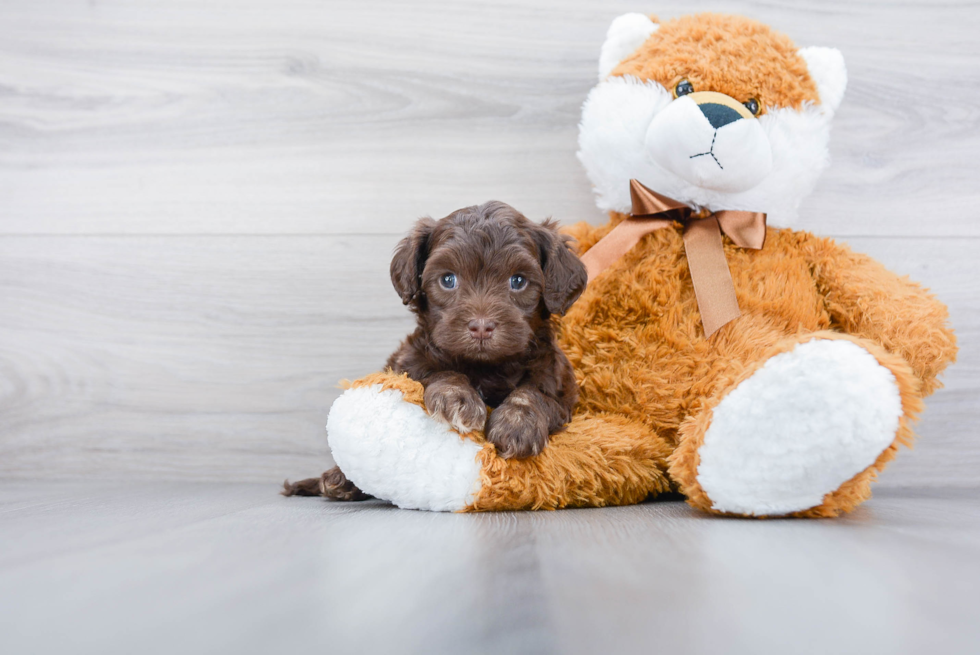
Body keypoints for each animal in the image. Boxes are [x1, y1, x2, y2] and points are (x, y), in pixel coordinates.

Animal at [288, 202, 584, 500]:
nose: (481, 326)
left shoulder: (558, 381)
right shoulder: (409, 363)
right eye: (448, 279)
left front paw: (517, 424)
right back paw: (339, 480)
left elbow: (536, 394)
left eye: (518, 281)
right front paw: (457, 397)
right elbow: (435, 372)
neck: (485, 366)